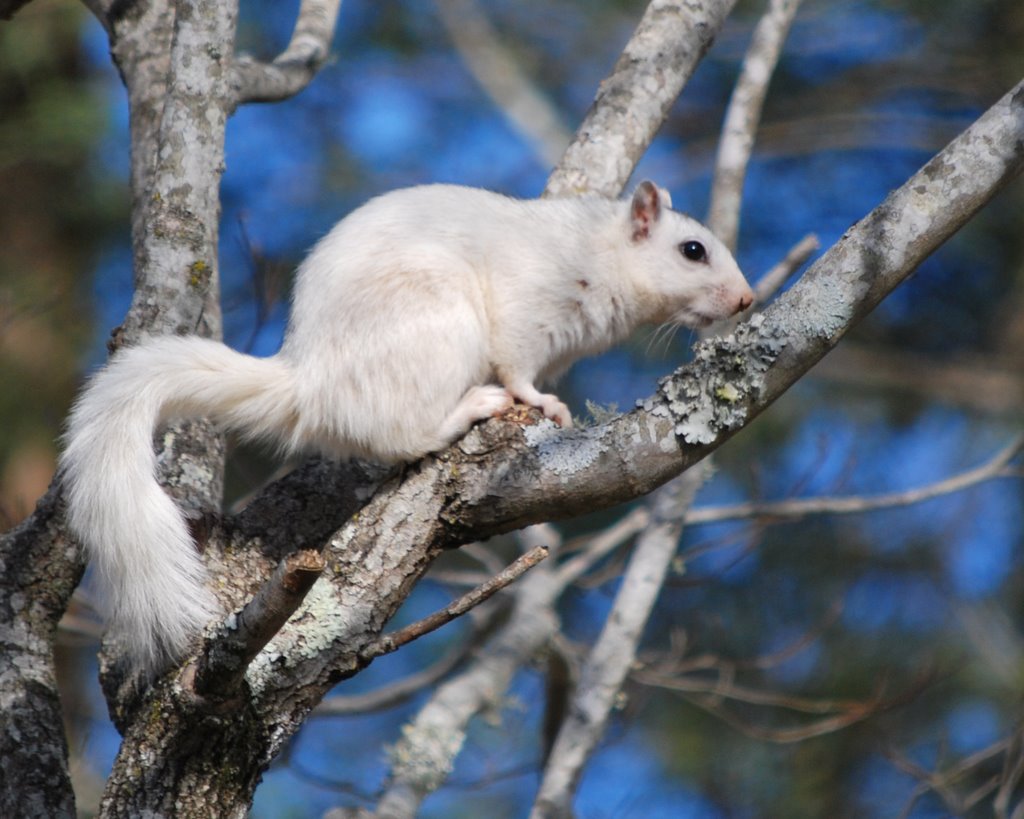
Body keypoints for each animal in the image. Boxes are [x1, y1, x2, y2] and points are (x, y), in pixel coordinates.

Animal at [61, 181, 753, 671]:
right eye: (692, 251)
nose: (746, 300)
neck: (599, 254)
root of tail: (310, 384)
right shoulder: (527, 310)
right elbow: (520, 366)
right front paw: (544, 404)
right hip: (438, 325)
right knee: (404, 434)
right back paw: (471, 408)